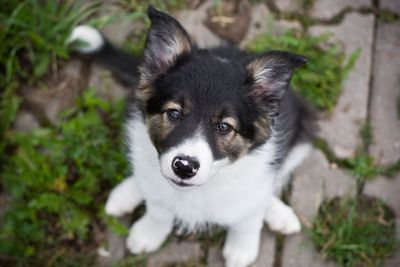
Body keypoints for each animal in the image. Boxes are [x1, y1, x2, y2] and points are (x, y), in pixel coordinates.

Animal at [68, 6, 312, 267]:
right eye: (174, 113)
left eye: (224, 127)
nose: (184, 167)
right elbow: (159, 208)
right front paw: (149, 233)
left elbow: (248, 217)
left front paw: (241, 248)